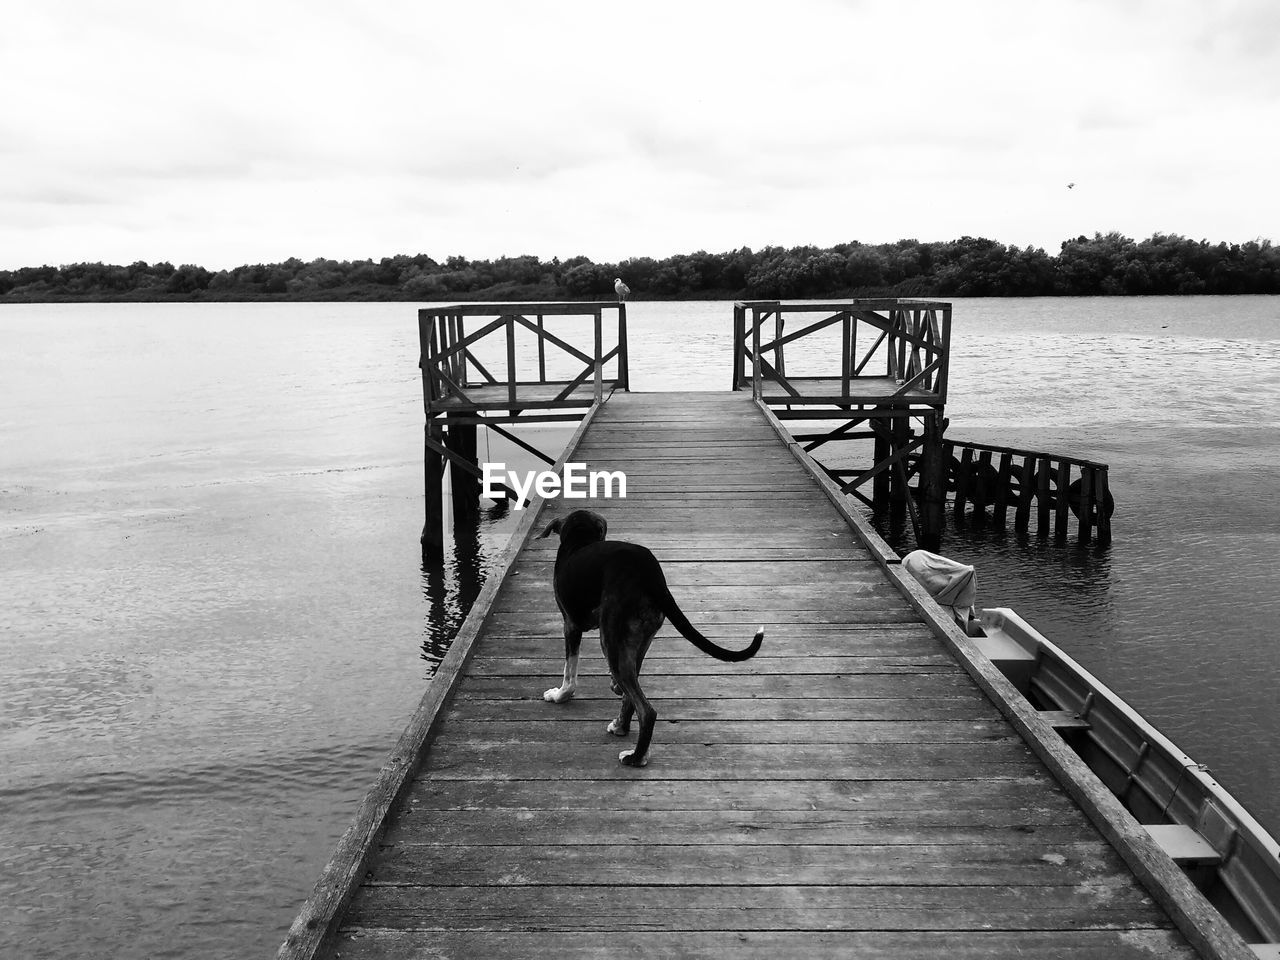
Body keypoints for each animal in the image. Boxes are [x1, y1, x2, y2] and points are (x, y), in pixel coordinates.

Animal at [537, 512, 762, 768]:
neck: (580, 539)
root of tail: (653, 579)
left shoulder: (571, 626)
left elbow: (570, 674)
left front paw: (559, 696)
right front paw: (612, 686)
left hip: (611, 640)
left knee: (646, 710)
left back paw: (636, 757)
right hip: (639, 638)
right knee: (631, 694)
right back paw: (622, 727)